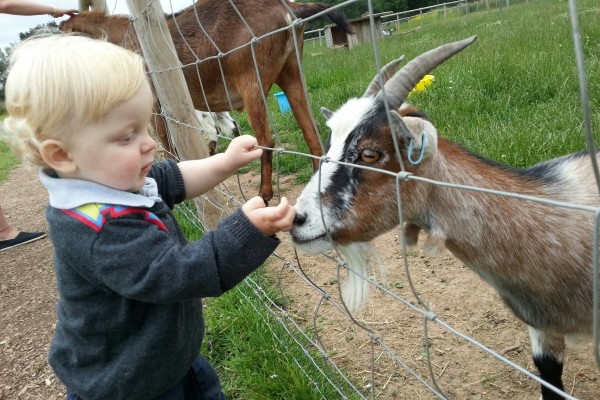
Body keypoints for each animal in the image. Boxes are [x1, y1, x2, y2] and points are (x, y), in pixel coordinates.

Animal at [58, 2, 354, 203]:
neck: (122, 39)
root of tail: (289, 8)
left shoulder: (155, 104)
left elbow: (167, 145)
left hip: (252, 80)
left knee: (266, 139)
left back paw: (264, 193)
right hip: (291, 72)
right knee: (311, 131)